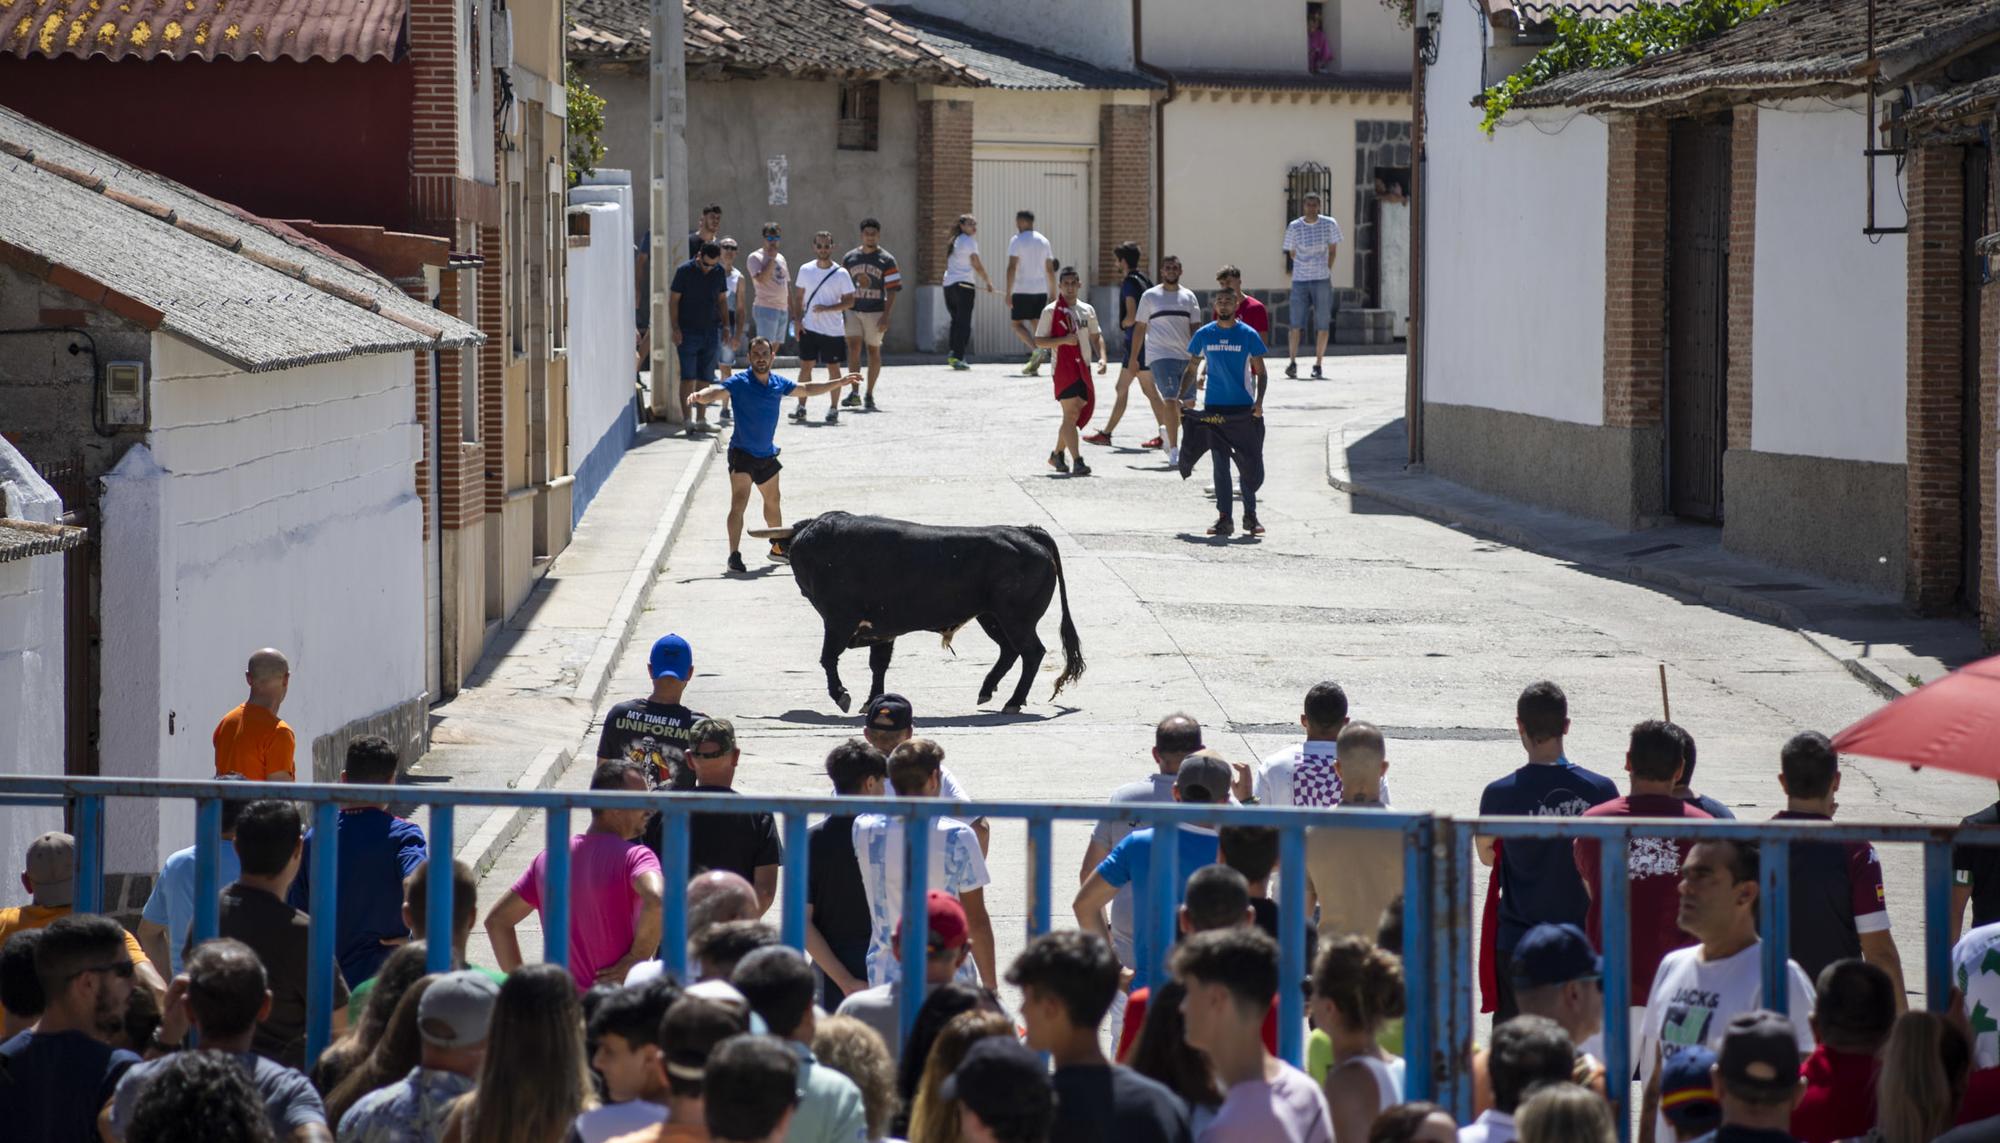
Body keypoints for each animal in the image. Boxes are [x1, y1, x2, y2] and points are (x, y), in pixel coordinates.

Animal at [788, 511, 1088, 711]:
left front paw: (842, 695)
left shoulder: (838, 620)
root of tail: (1026, 531)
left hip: (1015, 618)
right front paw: (873, 701)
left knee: (1031, 652)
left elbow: (829, 657)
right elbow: (878, 665)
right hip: (991, 617)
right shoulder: (882, 630)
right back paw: (988, 691)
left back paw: (1012, 702)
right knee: (1010, 650)